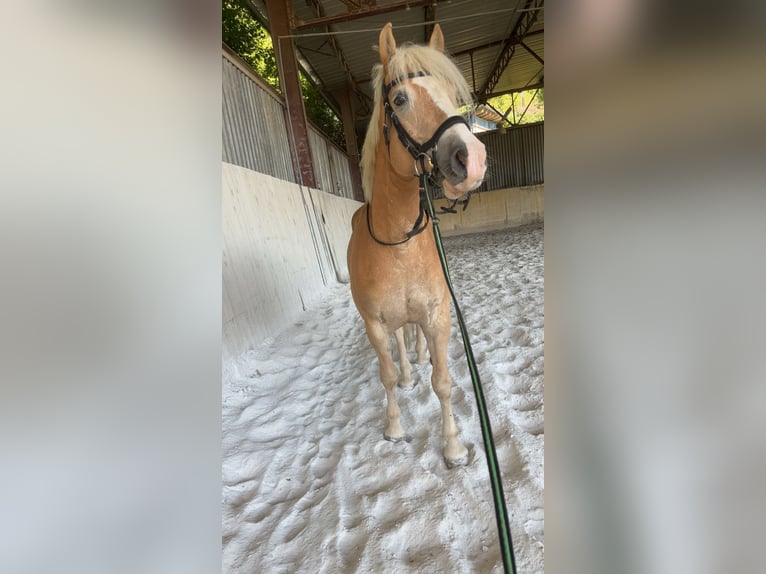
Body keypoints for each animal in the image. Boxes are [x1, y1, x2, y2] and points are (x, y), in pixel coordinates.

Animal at [347, 23, 487, 467]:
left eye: (453, 93)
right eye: (399, 99)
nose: (472, 159)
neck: (398, 244)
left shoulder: (438, 315)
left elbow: (442, 380)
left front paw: (454, 447)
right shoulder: (374, 324)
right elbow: (388, 373)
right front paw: (394, 428)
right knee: (400, 345)